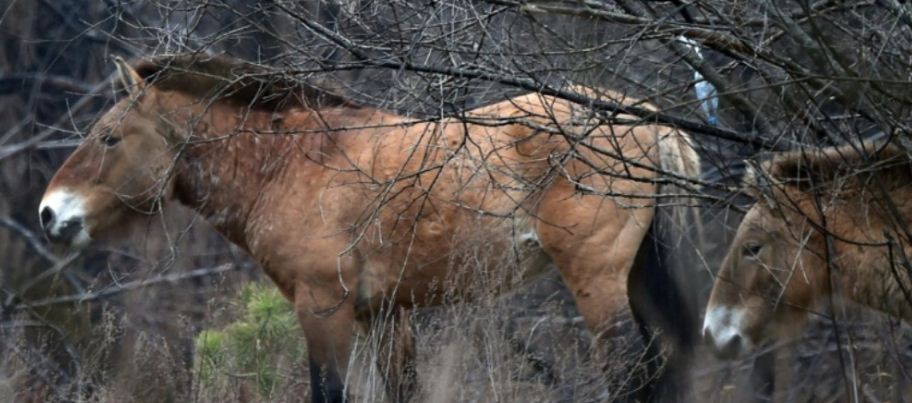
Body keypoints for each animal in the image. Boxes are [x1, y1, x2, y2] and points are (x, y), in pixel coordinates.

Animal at [39, 54, 700, 403]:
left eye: (109, 138)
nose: (50, 213)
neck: (289, 165)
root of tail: (647, 120)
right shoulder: (384, 315)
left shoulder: (323, 308)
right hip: (636, 274)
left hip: (597, 278)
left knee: (630, 370)